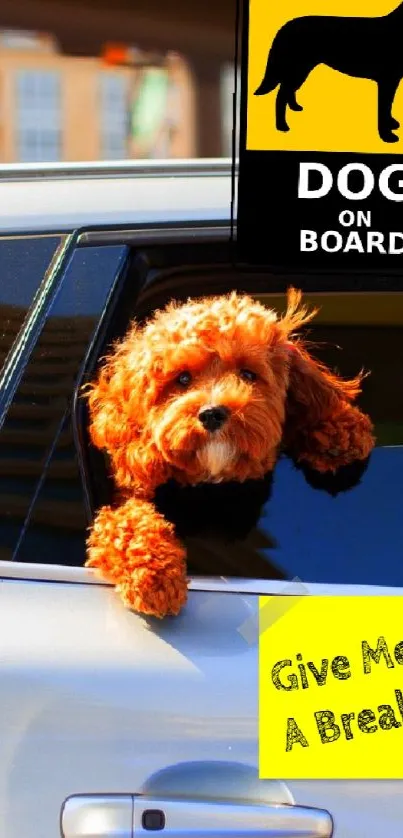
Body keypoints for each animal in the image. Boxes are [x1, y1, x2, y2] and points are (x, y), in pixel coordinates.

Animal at [83, 292, 376, 620]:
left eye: (248, 374)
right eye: (182, 379)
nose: (212, 413)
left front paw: (341, 428)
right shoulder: (125, 500)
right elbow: (126, 524)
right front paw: (155, 577)